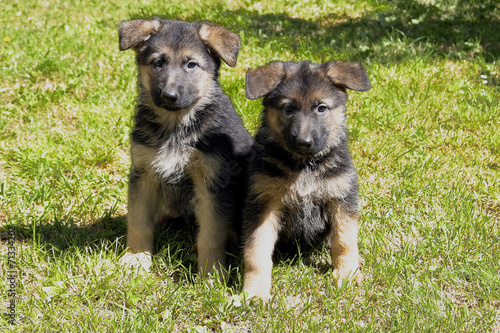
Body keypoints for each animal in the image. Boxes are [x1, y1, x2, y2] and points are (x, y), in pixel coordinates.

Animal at [118, 19, 254, 276]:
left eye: (191, 64)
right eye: (158, 63)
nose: (168, 96)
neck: (177, 126)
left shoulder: (213, 183)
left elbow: (211, 235)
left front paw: (211, 272)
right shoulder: (143, 173)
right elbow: (139, 222)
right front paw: (137, 257)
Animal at [242, 60, 372, 300]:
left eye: (321, 108)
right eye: (288, 108)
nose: (304, 142)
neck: (305, 166)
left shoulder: (341, 197)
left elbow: (344, 239)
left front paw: (347, 273)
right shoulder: (263, 204)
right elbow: (257, 252)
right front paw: (255, 291)